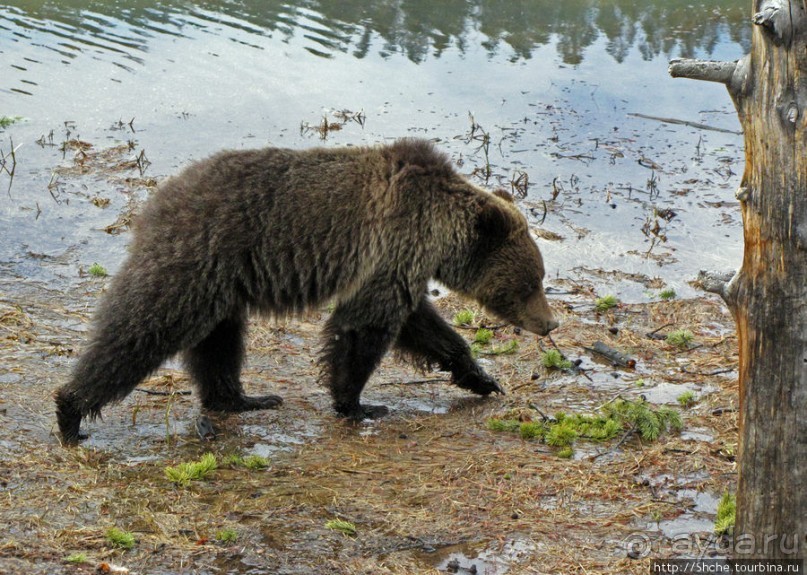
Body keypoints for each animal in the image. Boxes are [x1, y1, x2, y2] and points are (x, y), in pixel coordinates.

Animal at [53, 140, 560, 446]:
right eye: (530, 282)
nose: (550, 322)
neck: (439, 232)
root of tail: (158, 200)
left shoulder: (399, 266)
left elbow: (424, 327)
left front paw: (481, 377)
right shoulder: (392, 245)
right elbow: (363, 328)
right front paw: (359, 403)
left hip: (221, 284)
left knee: (219, 344)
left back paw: (242, 398)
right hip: (195, 262)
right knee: (143, 327)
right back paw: (70, 411)